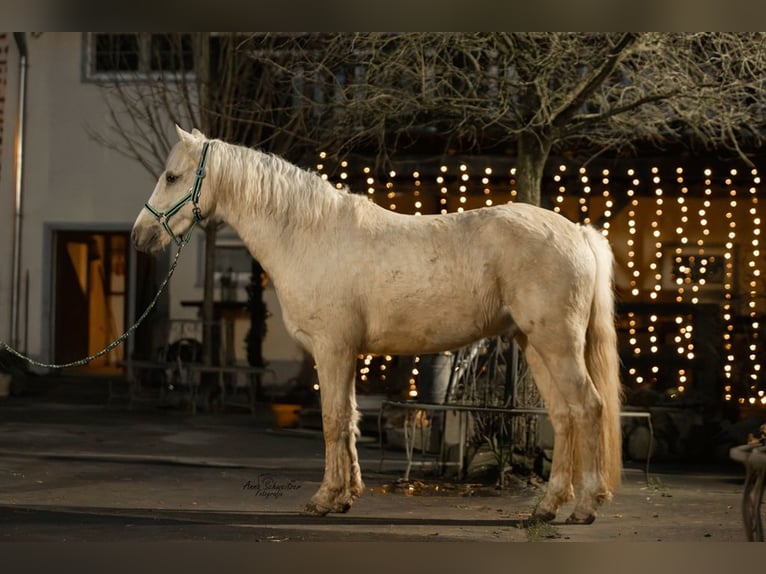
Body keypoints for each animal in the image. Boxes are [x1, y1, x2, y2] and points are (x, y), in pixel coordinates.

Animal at [132, 126, 624, 528]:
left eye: (172, 177)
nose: (140, 236)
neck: (309, 235)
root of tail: (578, 232)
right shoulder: (347, 352)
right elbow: (349, 417)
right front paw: (346, 496)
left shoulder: (331, 349)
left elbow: (332, 420)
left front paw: (324, 499)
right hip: (534, 345)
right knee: (563, 416)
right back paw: (547, 506)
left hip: (557, 345)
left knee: (588, 408)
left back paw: (585, 506)